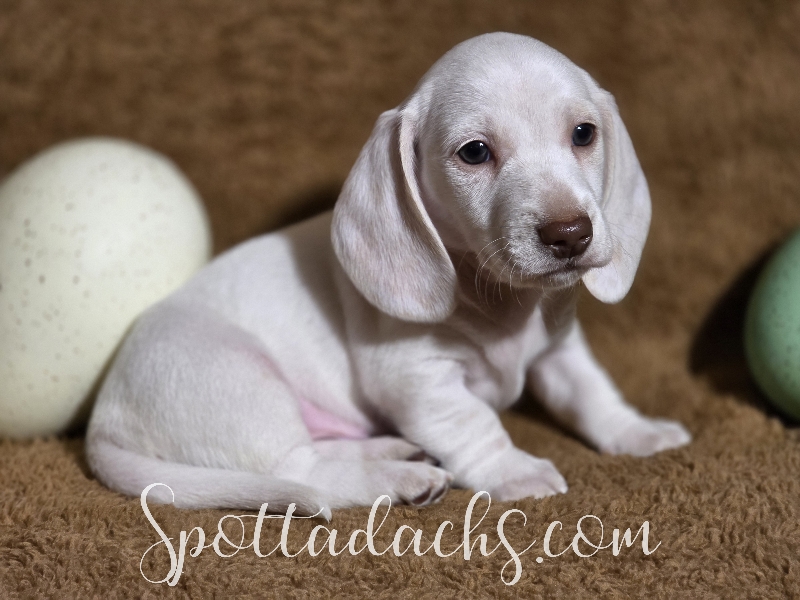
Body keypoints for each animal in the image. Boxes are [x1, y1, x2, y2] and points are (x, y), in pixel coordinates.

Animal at [86, 32, 690, 519]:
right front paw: (516, 471)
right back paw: (397, 477)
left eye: (584, 134)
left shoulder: (560, 351)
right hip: (240, 380)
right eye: (475, 152)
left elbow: (591, 392)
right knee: (300, 471)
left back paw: (391, 450)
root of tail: (101, 422)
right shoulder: (419, 380)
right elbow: (475, 423)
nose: (569, 234)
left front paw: (636, 431)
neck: (503, 302)